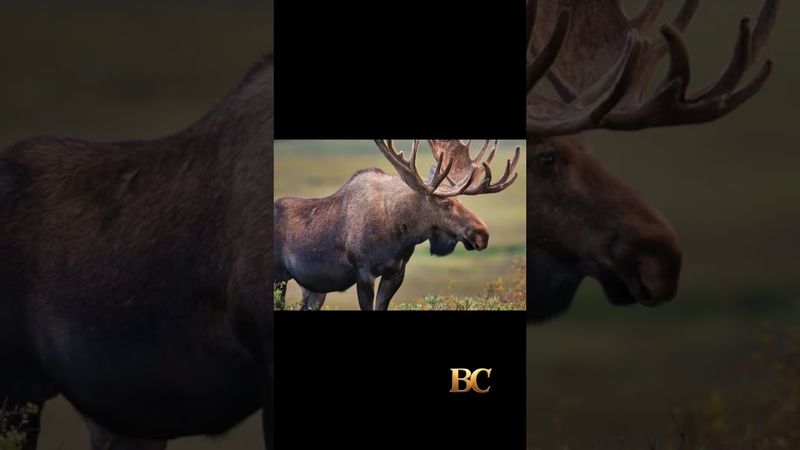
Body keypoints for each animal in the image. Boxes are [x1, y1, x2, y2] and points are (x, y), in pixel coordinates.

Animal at [274, 139, 520, 310]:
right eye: (446, 203)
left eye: (461, 200)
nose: (482, 234)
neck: (398, 234)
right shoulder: (363, 271)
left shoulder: (396, 272)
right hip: (279, 277)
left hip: (314, 289)